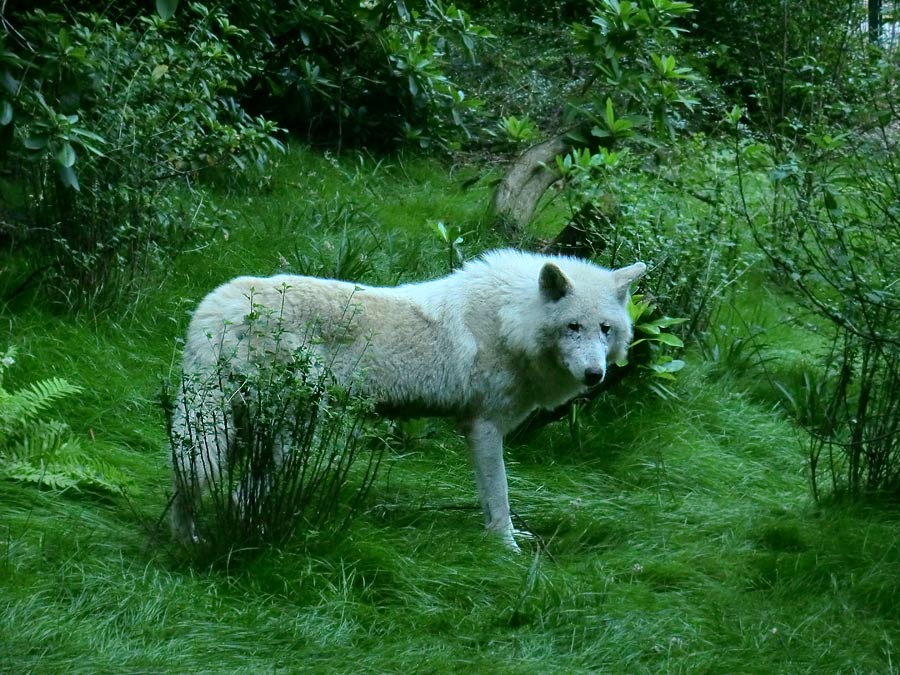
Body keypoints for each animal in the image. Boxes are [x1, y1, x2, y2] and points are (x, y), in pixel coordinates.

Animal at [171, 248, 648, 548]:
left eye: (605, 329)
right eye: (572, 327)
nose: (594, 375)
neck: (510, 321)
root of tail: (215, 306)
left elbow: (487, 495)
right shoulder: (484, 427)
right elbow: (500, 494)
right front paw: (506, 546)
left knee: (190, 481)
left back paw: (189, 540)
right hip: (287, 428)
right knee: (237, 493)